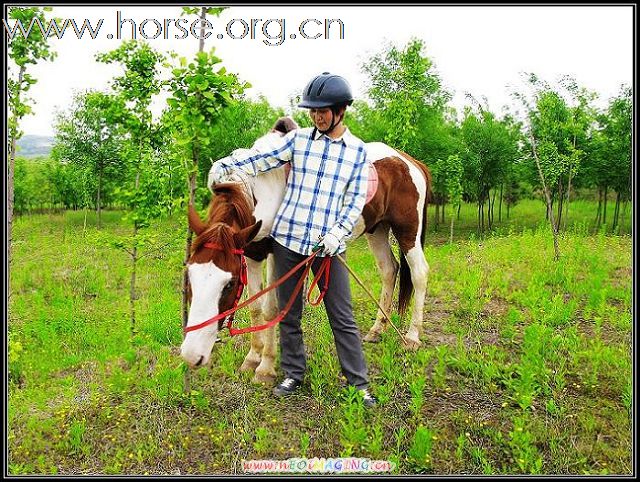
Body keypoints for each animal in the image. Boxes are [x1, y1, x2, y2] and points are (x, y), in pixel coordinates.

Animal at [180, 117, 432, 384]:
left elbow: (271, 309)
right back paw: (377, 329)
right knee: (389, 270)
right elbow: (255, 308)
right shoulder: (251, 253)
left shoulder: (275, 254)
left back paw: (412, 336)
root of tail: (409, 161)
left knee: (419, 273)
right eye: (189, 276)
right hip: (378, 229)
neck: (264, 187)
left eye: (228, 284)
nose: (191, 354)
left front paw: (266, 367)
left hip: (408, 231)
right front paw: (252, 357)